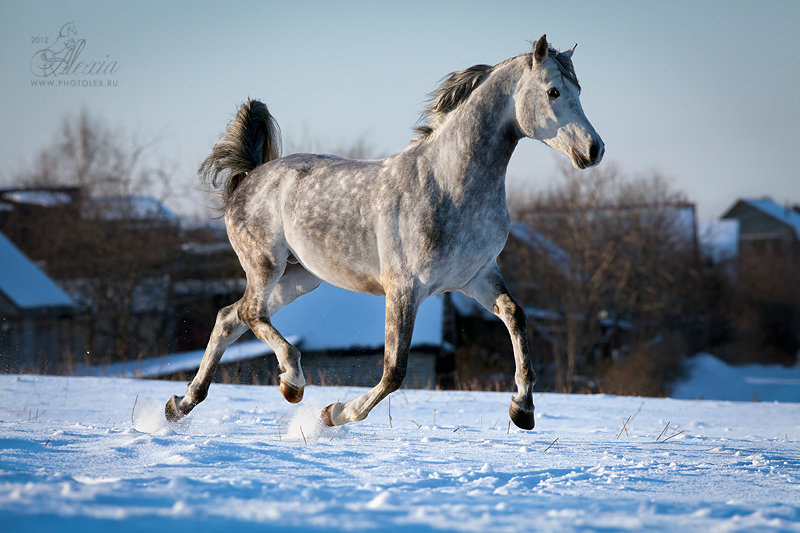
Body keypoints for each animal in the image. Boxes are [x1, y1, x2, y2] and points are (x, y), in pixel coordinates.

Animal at [166, 36, 604, 428]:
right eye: (553, 91)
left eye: (579, 90)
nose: (594, 150)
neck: (450, 186)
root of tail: (250, 176)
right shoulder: (405, 288)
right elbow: (394, 370)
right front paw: (333, 414)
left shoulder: (476, 277)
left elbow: (516, 317)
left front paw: (523, 409)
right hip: (266, 265)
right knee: (250, 313)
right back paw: (291, 382)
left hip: (300, 277)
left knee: (229, 316)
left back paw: (180, 405)